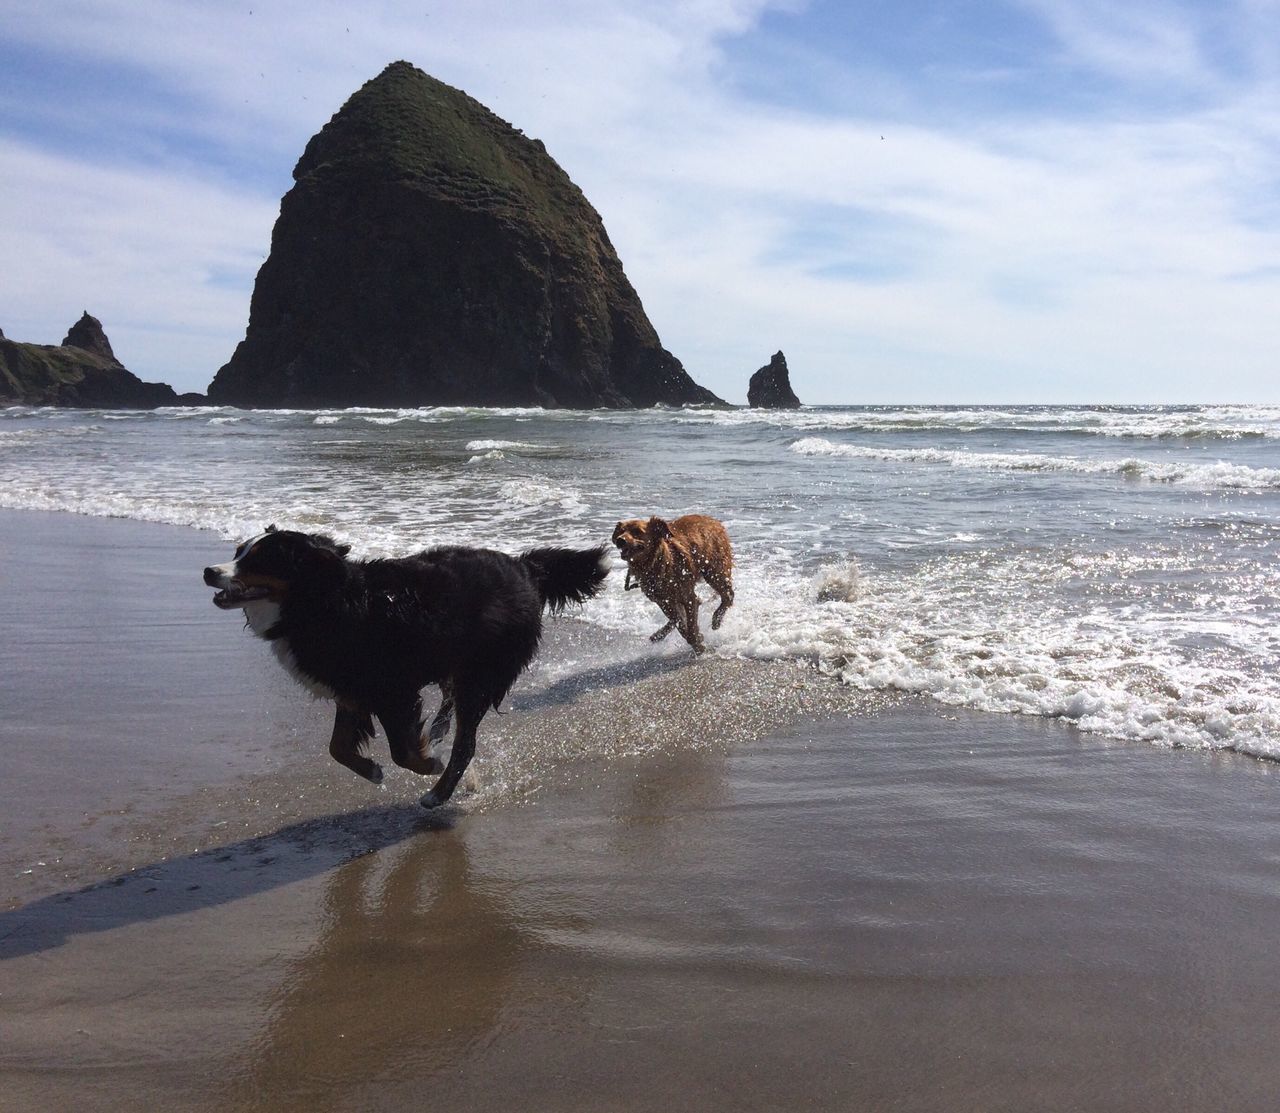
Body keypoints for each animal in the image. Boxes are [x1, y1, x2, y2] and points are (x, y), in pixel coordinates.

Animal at [203, 529, 609, 808]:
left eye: (259, 560)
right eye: (238, 552)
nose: (208, 570)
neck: (324, 603)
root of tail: (524, 566)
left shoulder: (391, 691)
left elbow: (402, 752)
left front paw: (428, 761)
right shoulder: (351, 691)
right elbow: (337, 748)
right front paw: (371, 769)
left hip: (479, 675)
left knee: (466, 744)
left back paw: (438, 792)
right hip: (456, 662)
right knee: (450, 702)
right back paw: (440, 729)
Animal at [611, 514, 737, 652]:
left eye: (637, 531)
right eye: (621, 531)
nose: (620, 540)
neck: (656, 564)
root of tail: (714, 521)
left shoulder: (688, 598)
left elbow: (689, 628)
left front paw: (698, 646)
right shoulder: (663, 602)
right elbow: (679, 623)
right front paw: (697, 638)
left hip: (714, 572)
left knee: (728, 595)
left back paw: (716, 620)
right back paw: (658, 634)